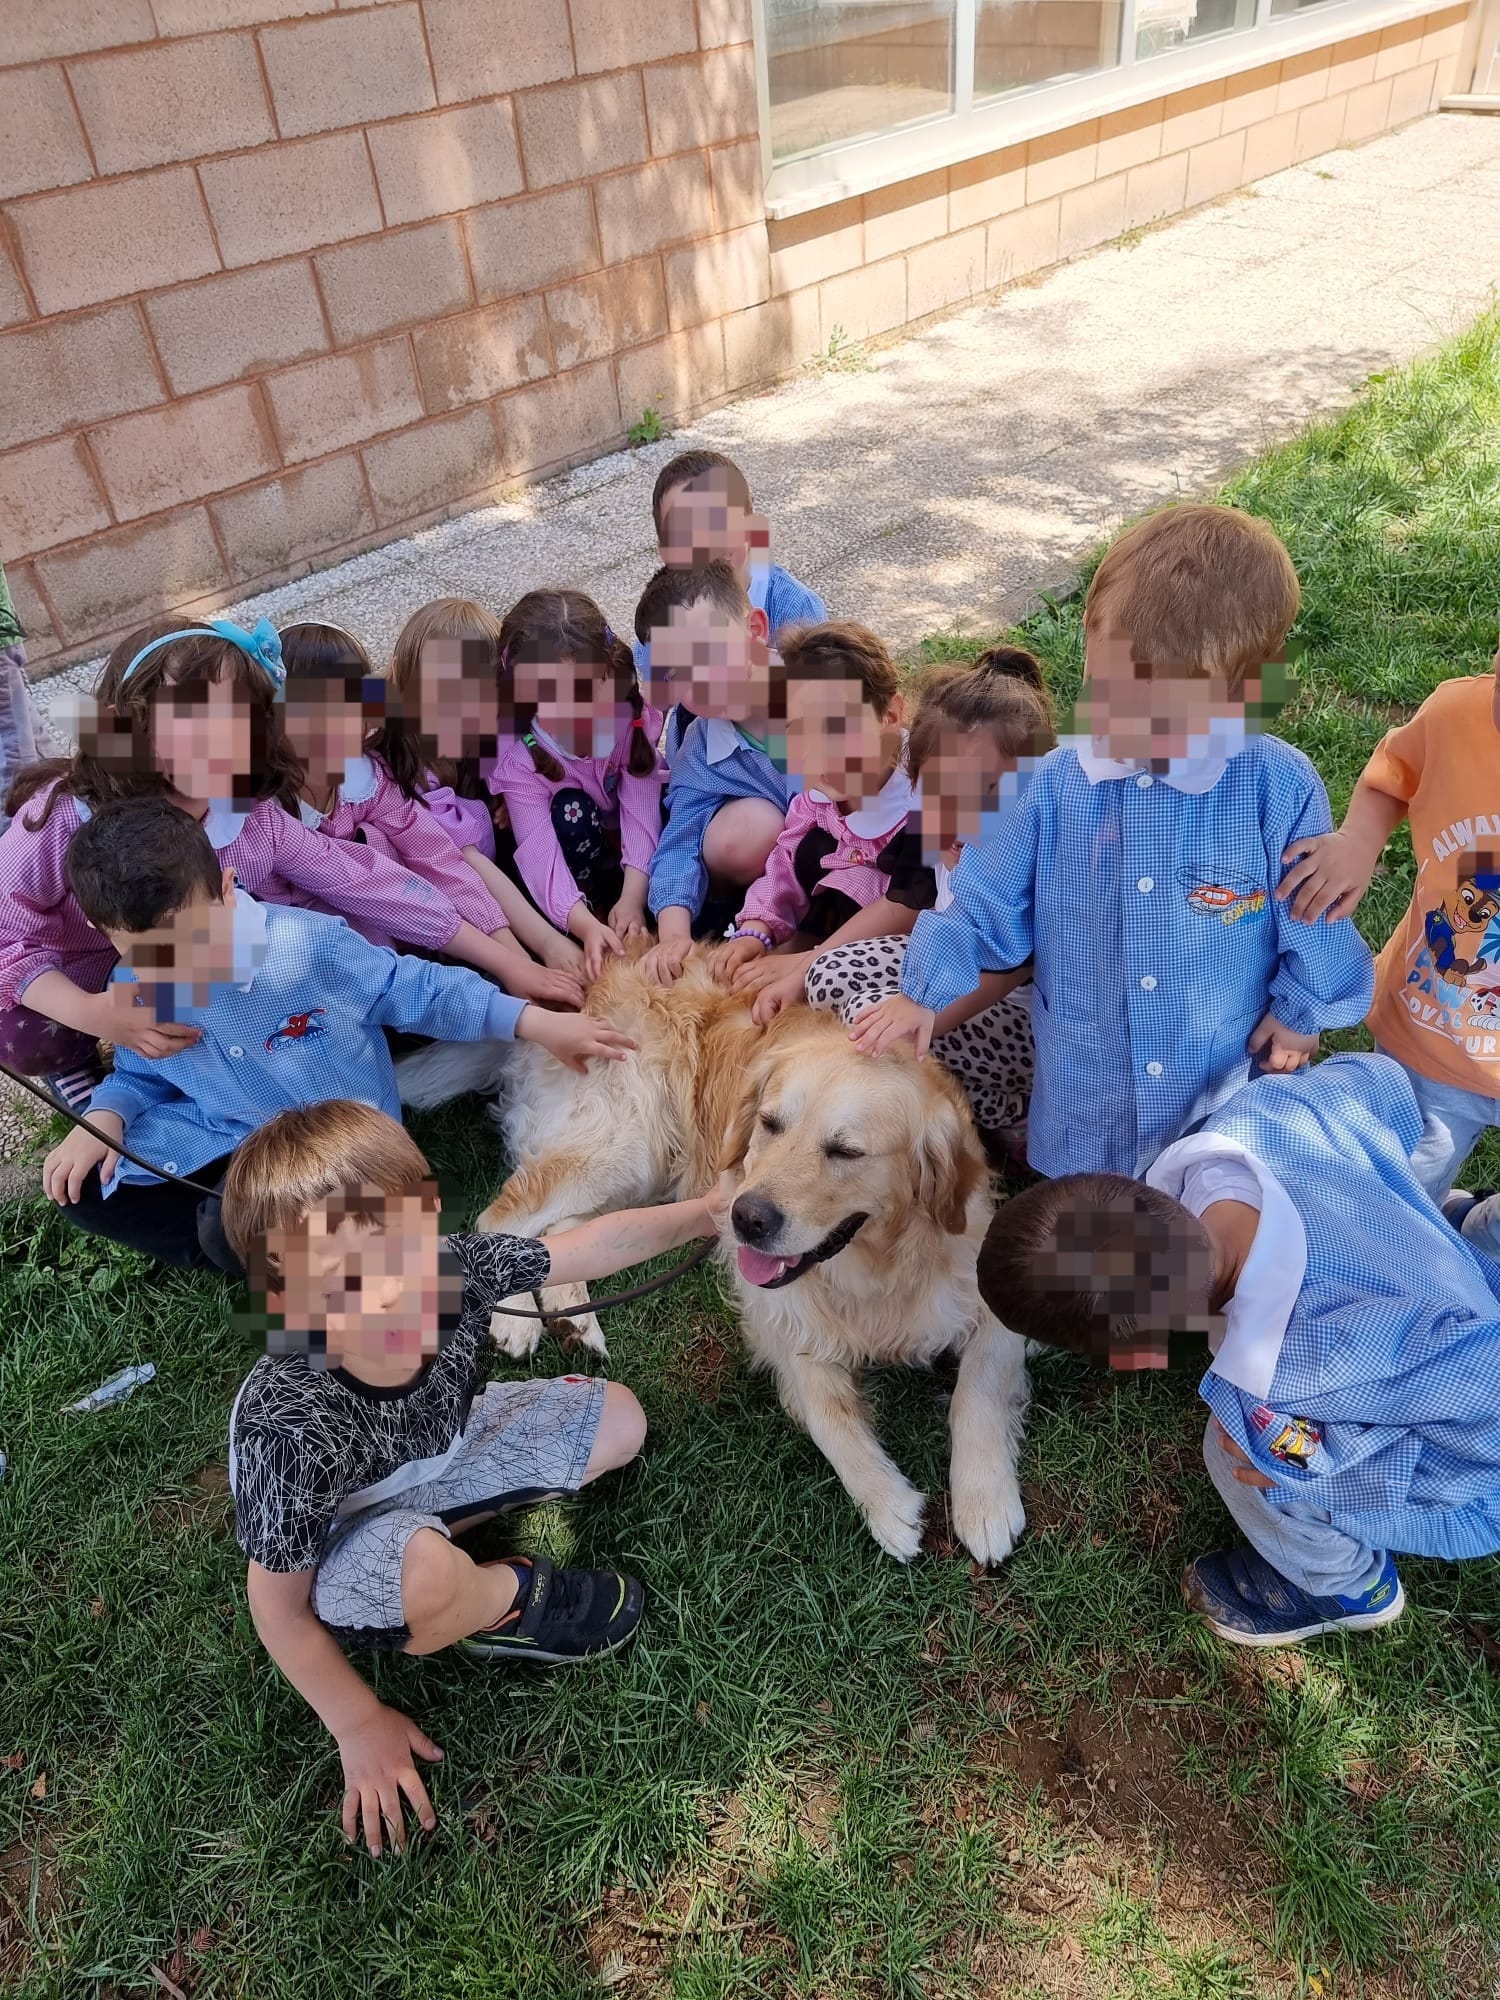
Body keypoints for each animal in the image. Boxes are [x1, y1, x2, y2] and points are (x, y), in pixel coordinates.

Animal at [400, 952, 1032, 1560]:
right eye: (770, 1123)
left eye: (846, 1151)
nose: (746, 1218)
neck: (873, 1266)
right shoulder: (779, 1316)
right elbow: (828, 1414)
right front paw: (888, 1505)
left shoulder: (987, 1287)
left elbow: (977, 1391)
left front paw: (984, 1503)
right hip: (622, 1143)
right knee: (501, 1222)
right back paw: (515, 1324)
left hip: (641, 1169)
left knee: (564, 1234)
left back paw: (572, 1322)